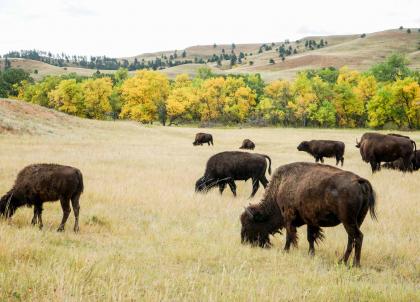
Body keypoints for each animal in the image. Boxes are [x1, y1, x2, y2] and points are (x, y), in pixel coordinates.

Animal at [240, 163, 378, 266]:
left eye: (248, 224)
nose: (244, 242)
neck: (280, 186)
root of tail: (359, 181)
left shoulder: (288, 217)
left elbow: (290, 235)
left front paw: (286, 250)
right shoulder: (310, 221)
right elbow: (310, 238)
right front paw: (311, 254)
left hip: (348, 221)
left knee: (358, 237)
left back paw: (355, 264)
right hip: (356, 220)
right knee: (351, 239)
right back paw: (342, 261)